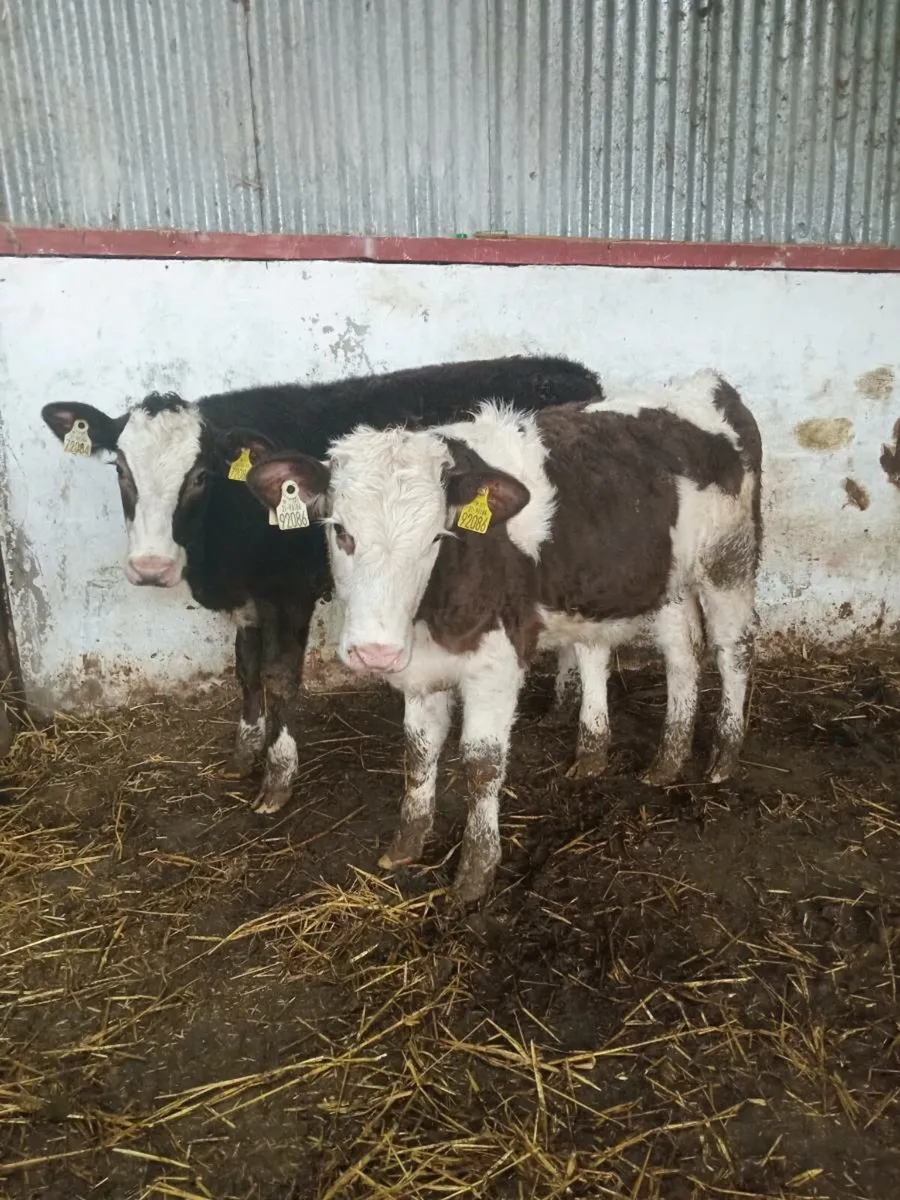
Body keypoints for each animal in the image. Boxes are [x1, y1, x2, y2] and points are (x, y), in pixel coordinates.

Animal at [41, 356, 601, 814]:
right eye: (120, 469)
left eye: (199, 475)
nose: (151, 567)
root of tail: (574, 372)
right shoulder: (249, 603)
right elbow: (245, 672)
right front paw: (245, 752)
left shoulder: (289, 595)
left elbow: (280, 677)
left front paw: (277, 776)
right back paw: (560, 704)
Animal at [244, 370, 762, 902]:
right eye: (340, 531)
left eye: (435, 538)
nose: (375, 651)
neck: (430, 613)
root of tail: (705, 382)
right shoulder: (421, 670)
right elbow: (418, 752)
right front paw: (407, 843)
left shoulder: (495, 663)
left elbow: (481, 764)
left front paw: (475, 871)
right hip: (665, 579)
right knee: (681, 653)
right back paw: (664, 760)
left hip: (729, 559)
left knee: (733, 650)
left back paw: (723, 756)